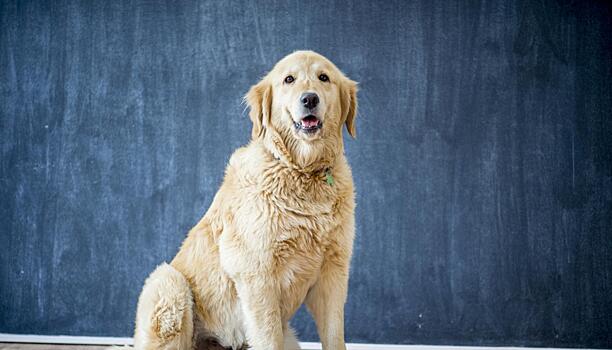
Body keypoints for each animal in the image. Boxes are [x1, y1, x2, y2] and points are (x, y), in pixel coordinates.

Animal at [131, 50, 356, 350]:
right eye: (289, 79)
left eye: (324, 78)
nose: (309, 99)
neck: (302, 172)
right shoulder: (256, 273)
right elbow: (268, 337)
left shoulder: (333, 271)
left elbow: (334, 336)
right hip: (168, 282)